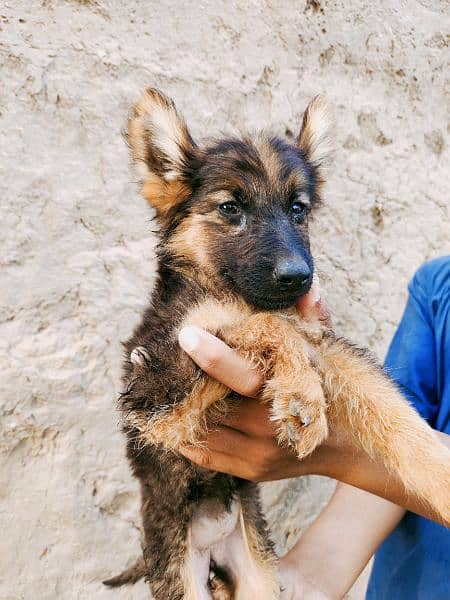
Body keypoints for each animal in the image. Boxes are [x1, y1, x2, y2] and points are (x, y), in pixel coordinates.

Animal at [103, 86, 450, 596]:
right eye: (231, 208)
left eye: (298, 209)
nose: (298, 277)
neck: (223, 288)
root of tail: (213, 531)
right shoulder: (158, 387)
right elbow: (267, 324)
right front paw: (300, 394)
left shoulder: (326, 346)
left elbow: (397, 415)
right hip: (178, 571)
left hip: (258, 571)